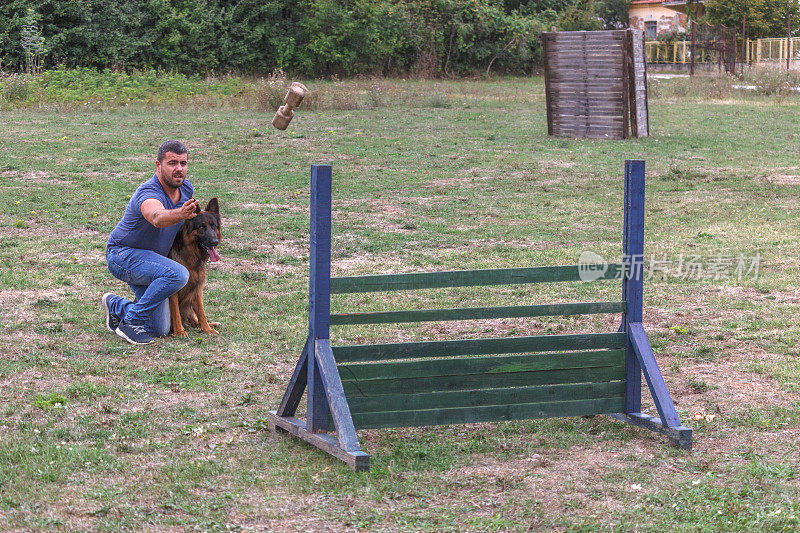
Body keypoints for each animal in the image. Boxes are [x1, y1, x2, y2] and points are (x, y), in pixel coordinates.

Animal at [167, 197, 220, 334]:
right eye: (201, 226)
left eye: (214, 226)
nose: (215, 242)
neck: (190, 255)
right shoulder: (174, 291)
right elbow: (175, 312)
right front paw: (179, 332)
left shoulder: (197, 287)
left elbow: (201, 312)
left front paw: (207, 329)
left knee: (195, 320)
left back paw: (212, 324)